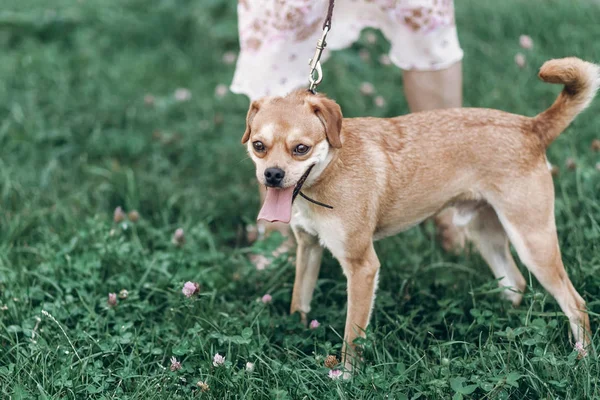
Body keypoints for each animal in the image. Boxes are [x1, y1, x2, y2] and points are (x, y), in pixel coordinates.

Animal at [240, 57, 596, 374]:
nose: (272, 175)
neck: (329, 170)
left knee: (575, 303)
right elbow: (299, 301)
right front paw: (294, 332)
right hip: (485, 234)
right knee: (515, 283)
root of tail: (531, 127)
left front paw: (347, 377)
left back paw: (582, 358)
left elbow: (353, 336)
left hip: (533, 243)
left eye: (301, 149)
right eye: (258, 145)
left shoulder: (362, 268)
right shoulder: (309, 247)